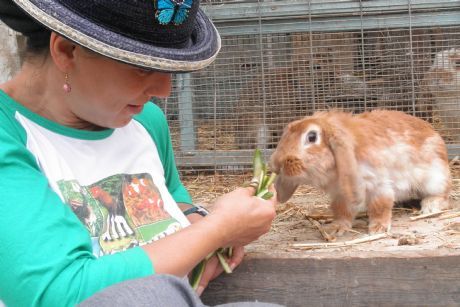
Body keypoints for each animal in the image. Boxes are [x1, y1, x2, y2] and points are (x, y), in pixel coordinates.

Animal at [272, 110, 452, 236]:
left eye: (311, 137)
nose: (277, 163)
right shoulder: (340, 193)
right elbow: (341, 210)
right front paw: (336, 228)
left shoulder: (378, 184)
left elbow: (380, 206)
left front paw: (378, 228)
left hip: (434, 178)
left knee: (443, 194)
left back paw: (430, 206)